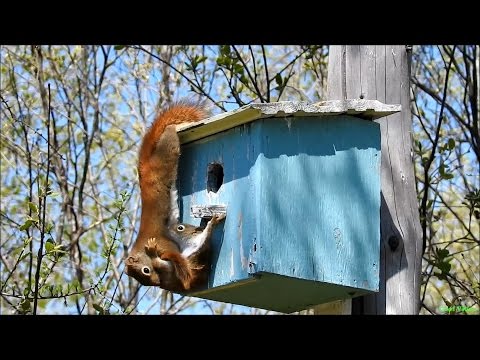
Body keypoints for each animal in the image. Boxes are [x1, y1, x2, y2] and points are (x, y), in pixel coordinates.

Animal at [125, 102, 227, 294]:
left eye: (145, 270)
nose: (156, 283)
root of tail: (143, 168)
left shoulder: (166, 246)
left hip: (166, 155)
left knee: (170, 136)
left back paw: (177, 126)